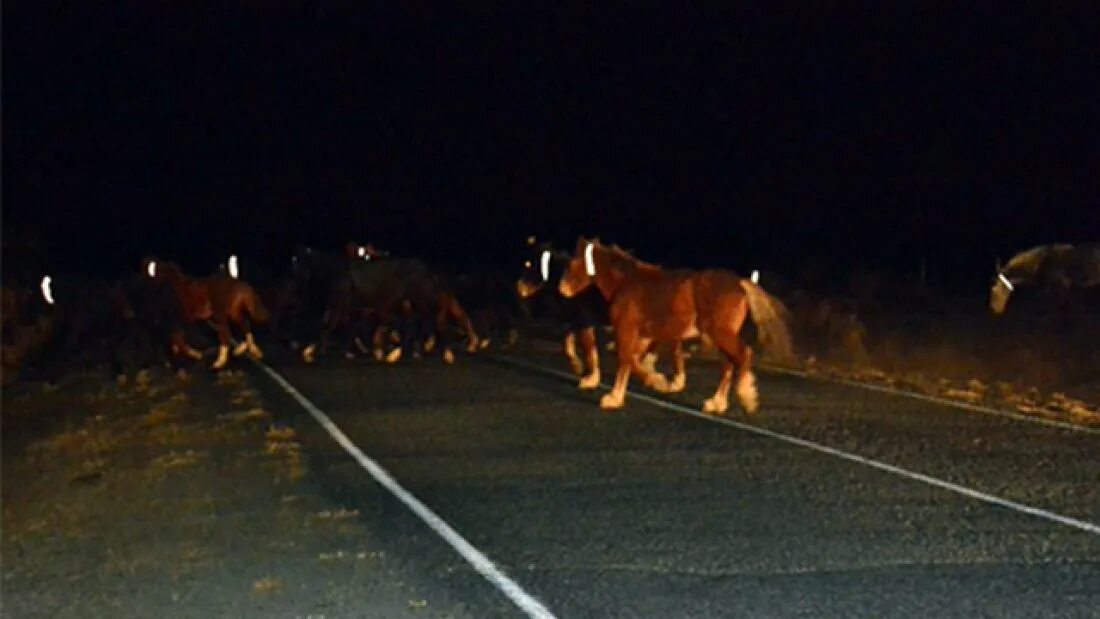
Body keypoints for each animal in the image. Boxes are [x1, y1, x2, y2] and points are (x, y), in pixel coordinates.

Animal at [514, 236, 611, 387]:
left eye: (528, 264)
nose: (518, 288)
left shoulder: (585, 322)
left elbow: (591, 352)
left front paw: (591, 379)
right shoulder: (572, 320)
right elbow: (567, 346)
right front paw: (577, 367)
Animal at [558, 237, 792, 415]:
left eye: (573, 264)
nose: (562, 289)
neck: (626, 283)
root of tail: (740, 283)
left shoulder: (627, 329)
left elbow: (626, 359)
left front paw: (616, 397)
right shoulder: (643, 336)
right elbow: (634, 361)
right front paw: (660, 382)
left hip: (721, 333)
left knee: (743, 355)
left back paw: (746, 397)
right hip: (719, 335)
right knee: (728, 364)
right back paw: (716, 403)